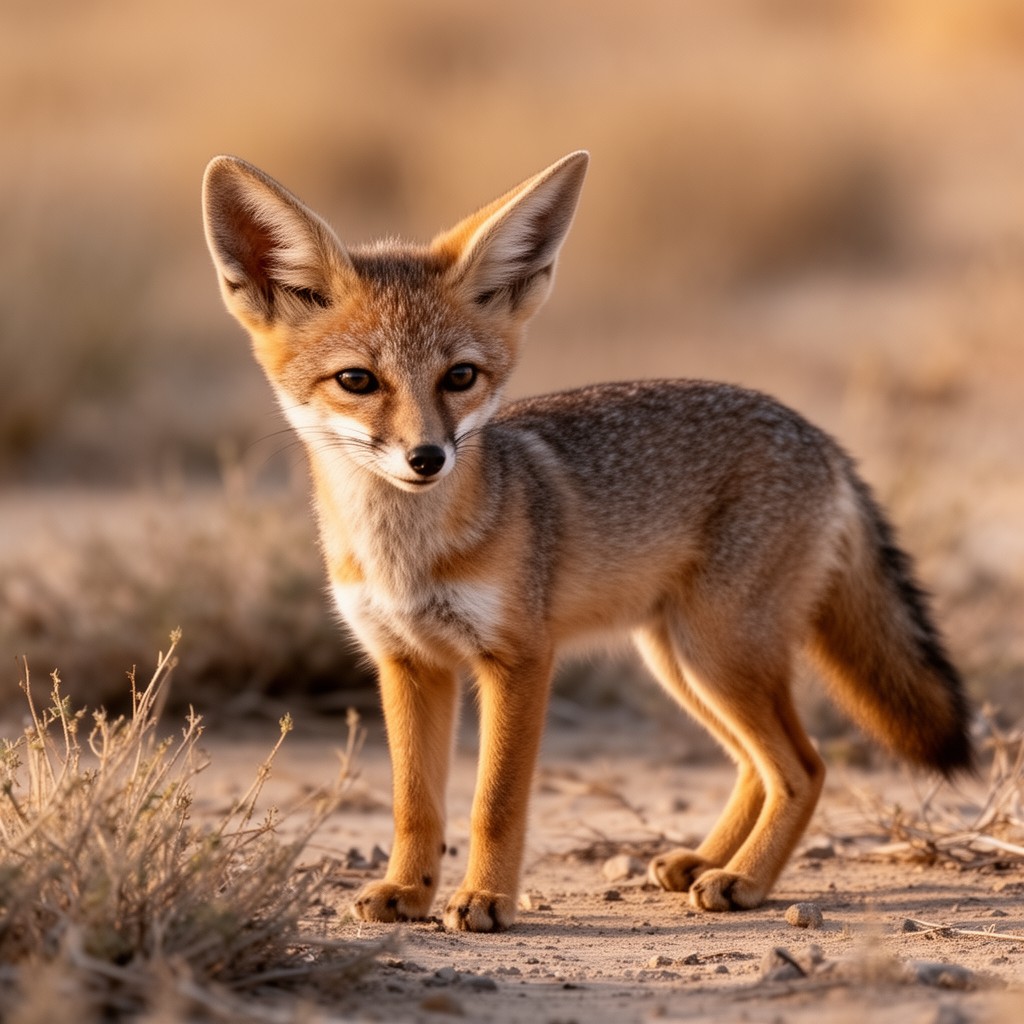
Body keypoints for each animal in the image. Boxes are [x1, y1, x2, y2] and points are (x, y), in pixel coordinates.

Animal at [202, 150, 972, 932]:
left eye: (460, 377)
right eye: (357, 380)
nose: (427, 458)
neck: (407, 556)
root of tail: (819, 436)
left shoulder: (519, 659)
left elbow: (494, 803)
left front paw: (485, 899)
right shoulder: (408, 662)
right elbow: (415, 805)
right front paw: (408, 890)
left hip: (719, 655)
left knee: (804, 766)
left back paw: (743, 879)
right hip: (682, 662)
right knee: (757, 765)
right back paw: (704, 861)